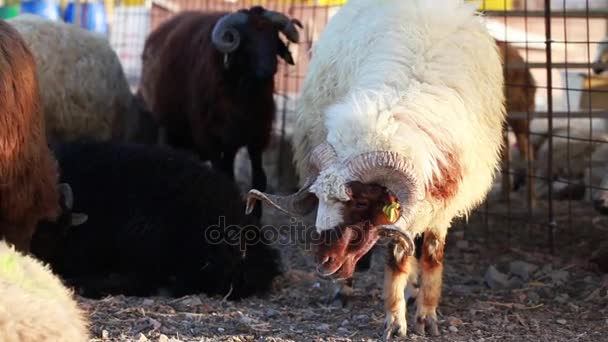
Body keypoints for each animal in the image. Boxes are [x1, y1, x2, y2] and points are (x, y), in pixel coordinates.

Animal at [137, 6, 300, 219]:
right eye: (247, 40)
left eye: (274, 37)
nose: (268, 69)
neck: (245, 98)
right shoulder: (209, 138)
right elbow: (223, 175)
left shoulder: (257, 135)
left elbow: (259, 180)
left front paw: (256, 218)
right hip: (168, 125)